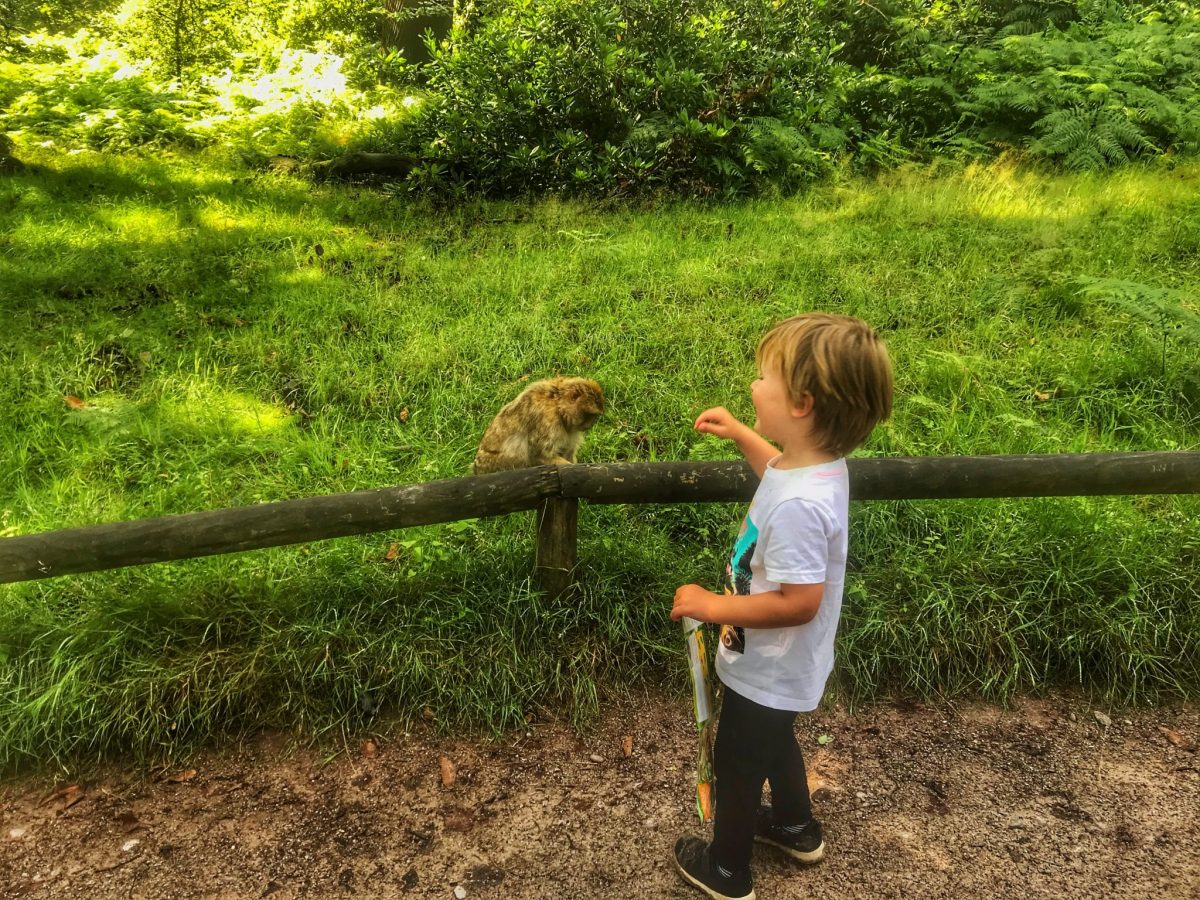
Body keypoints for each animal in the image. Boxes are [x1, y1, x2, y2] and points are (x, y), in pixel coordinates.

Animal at [472, 374, 604, 475]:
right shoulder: (547, 420)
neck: (557, 405)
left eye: (594, 416)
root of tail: (477, 469)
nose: (590, 424)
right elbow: (539, 456)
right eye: (590, 415)